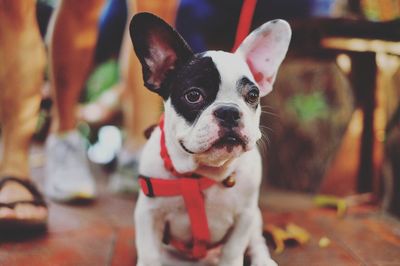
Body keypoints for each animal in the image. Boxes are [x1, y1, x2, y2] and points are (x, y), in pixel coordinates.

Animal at [131, 11, 290, 264]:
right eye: (193, 95)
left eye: (252, 95)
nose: (229, 111)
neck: (202, 174)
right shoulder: (148, 214)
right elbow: (149, 254)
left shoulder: (245, 216)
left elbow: (233, 251)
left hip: (256, 218)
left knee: (257, 242)